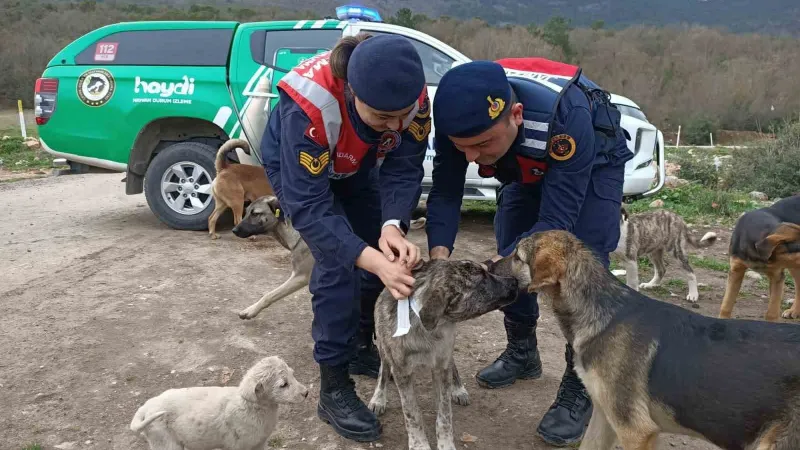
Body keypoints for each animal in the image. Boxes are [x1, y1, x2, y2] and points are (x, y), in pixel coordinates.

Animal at [130, 356, 308, 450]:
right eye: (283, 385)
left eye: (293, 374)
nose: (306, 393)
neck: (253, 407)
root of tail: (146, 407)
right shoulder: (239, 447)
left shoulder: (260, 443)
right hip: (165, 442)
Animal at [368, 258, 520, 450]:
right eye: (482, 278)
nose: (515, 281)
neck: (430, 329)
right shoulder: (402, 371)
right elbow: (412, 414)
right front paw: (419, 444)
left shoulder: (442, 365)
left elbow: (444, 415)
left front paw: (446, 444)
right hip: (383, 346)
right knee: (384, 368)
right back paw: (379, 398)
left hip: (447, 351)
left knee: (451, 366)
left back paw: (458, 389)